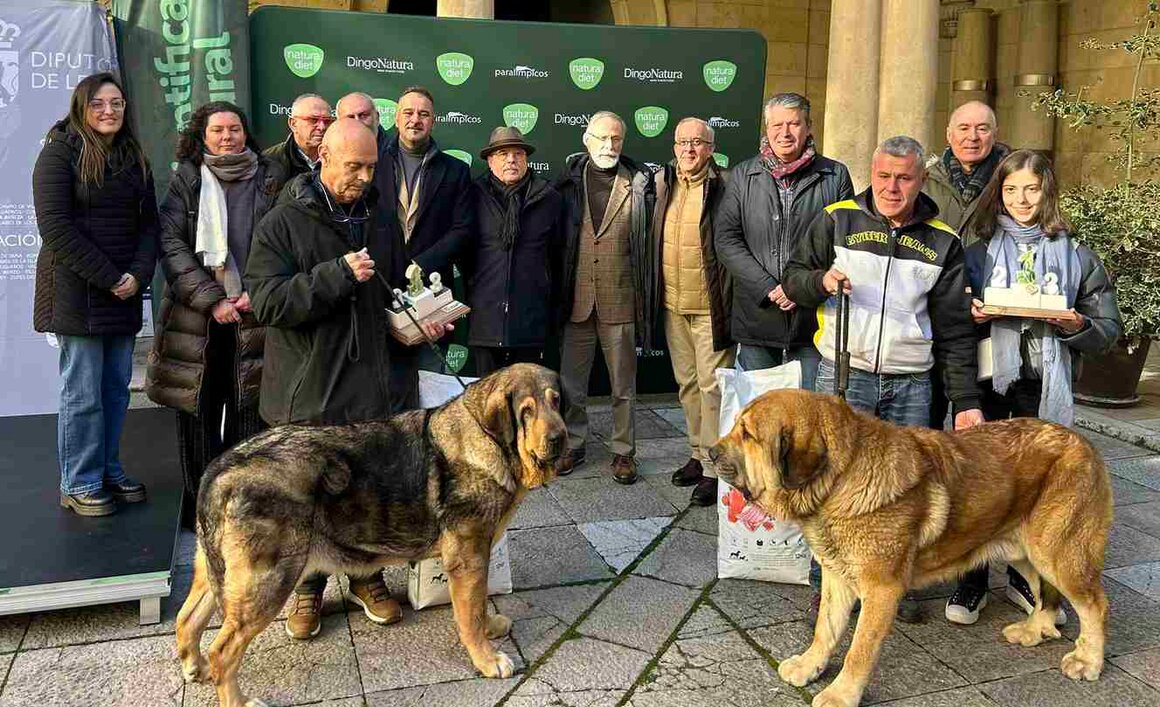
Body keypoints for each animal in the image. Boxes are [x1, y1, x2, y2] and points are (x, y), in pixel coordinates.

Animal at [172, 364, 566, 705]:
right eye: (526, 412)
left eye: (556, 400)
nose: (560, 439)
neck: (486, 437)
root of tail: (218, 469)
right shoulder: (468, 557)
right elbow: (470, 615)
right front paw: (486, 658)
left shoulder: (477, 556)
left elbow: (480, 604)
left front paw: (491, 627)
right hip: (268, 582)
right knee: (223, 651)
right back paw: (236, 698)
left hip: (217, 573)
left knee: (186, 620)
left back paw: (195, 667)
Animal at [705, 387, 1113, 701]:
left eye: (747, 434)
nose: (710, 452)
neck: (839, 481)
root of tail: (1084, 443)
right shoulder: (838, 580)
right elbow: (826, 629)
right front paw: (810, 667)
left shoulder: (881, 591)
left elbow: (859, 650)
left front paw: (841, 694)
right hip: (1026, 551)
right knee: (1045, 595)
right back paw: (1033, 630)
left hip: (1058, 553)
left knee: (1095, 604)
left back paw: (1088, 661)